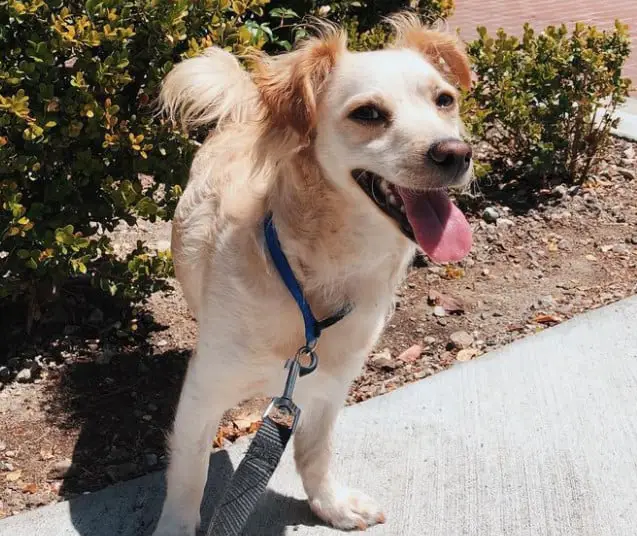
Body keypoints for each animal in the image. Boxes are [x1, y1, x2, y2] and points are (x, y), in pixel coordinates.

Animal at [153, 13, 472, 536]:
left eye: (444, 100)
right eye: (368, 113)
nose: (456, 152)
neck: (318, 273)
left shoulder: (330, 384)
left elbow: (315, 451)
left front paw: (330, 505)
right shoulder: (202, 393)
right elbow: (188, 475)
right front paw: (178, 526)